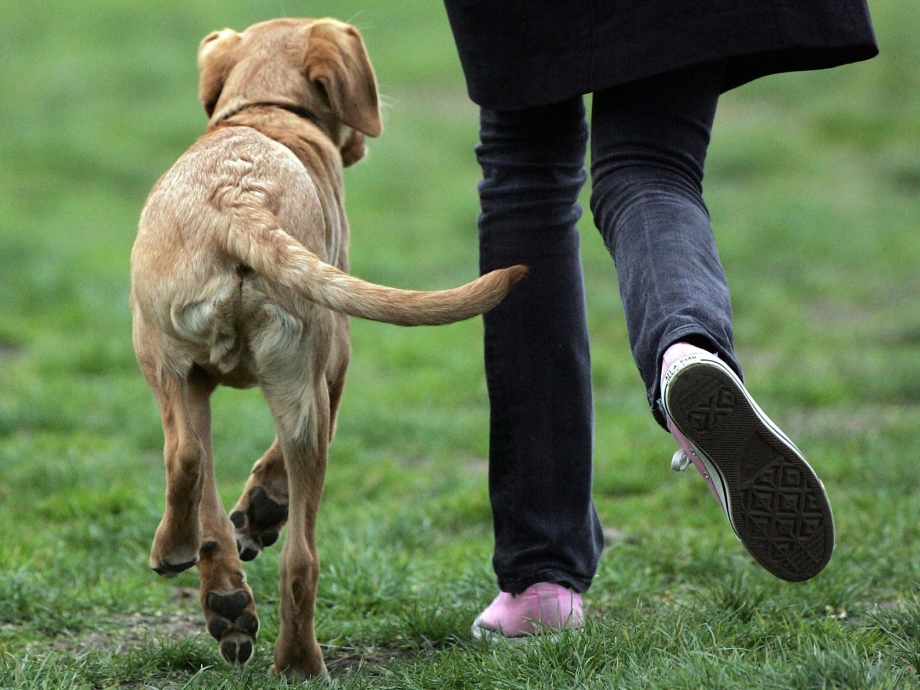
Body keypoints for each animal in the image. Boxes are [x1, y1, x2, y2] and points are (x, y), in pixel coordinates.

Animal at [129, 17, 524, 676]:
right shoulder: (333, 367)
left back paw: (230, 603)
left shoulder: (210, 380)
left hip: (170, 359)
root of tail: (239, 199)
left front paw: (230, 582)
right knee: (295, 549)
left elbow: (210, 492)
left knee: (193, 464)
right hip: (287, 375)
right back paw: (293, 657)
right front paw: (259, 517)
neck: (265, 109)